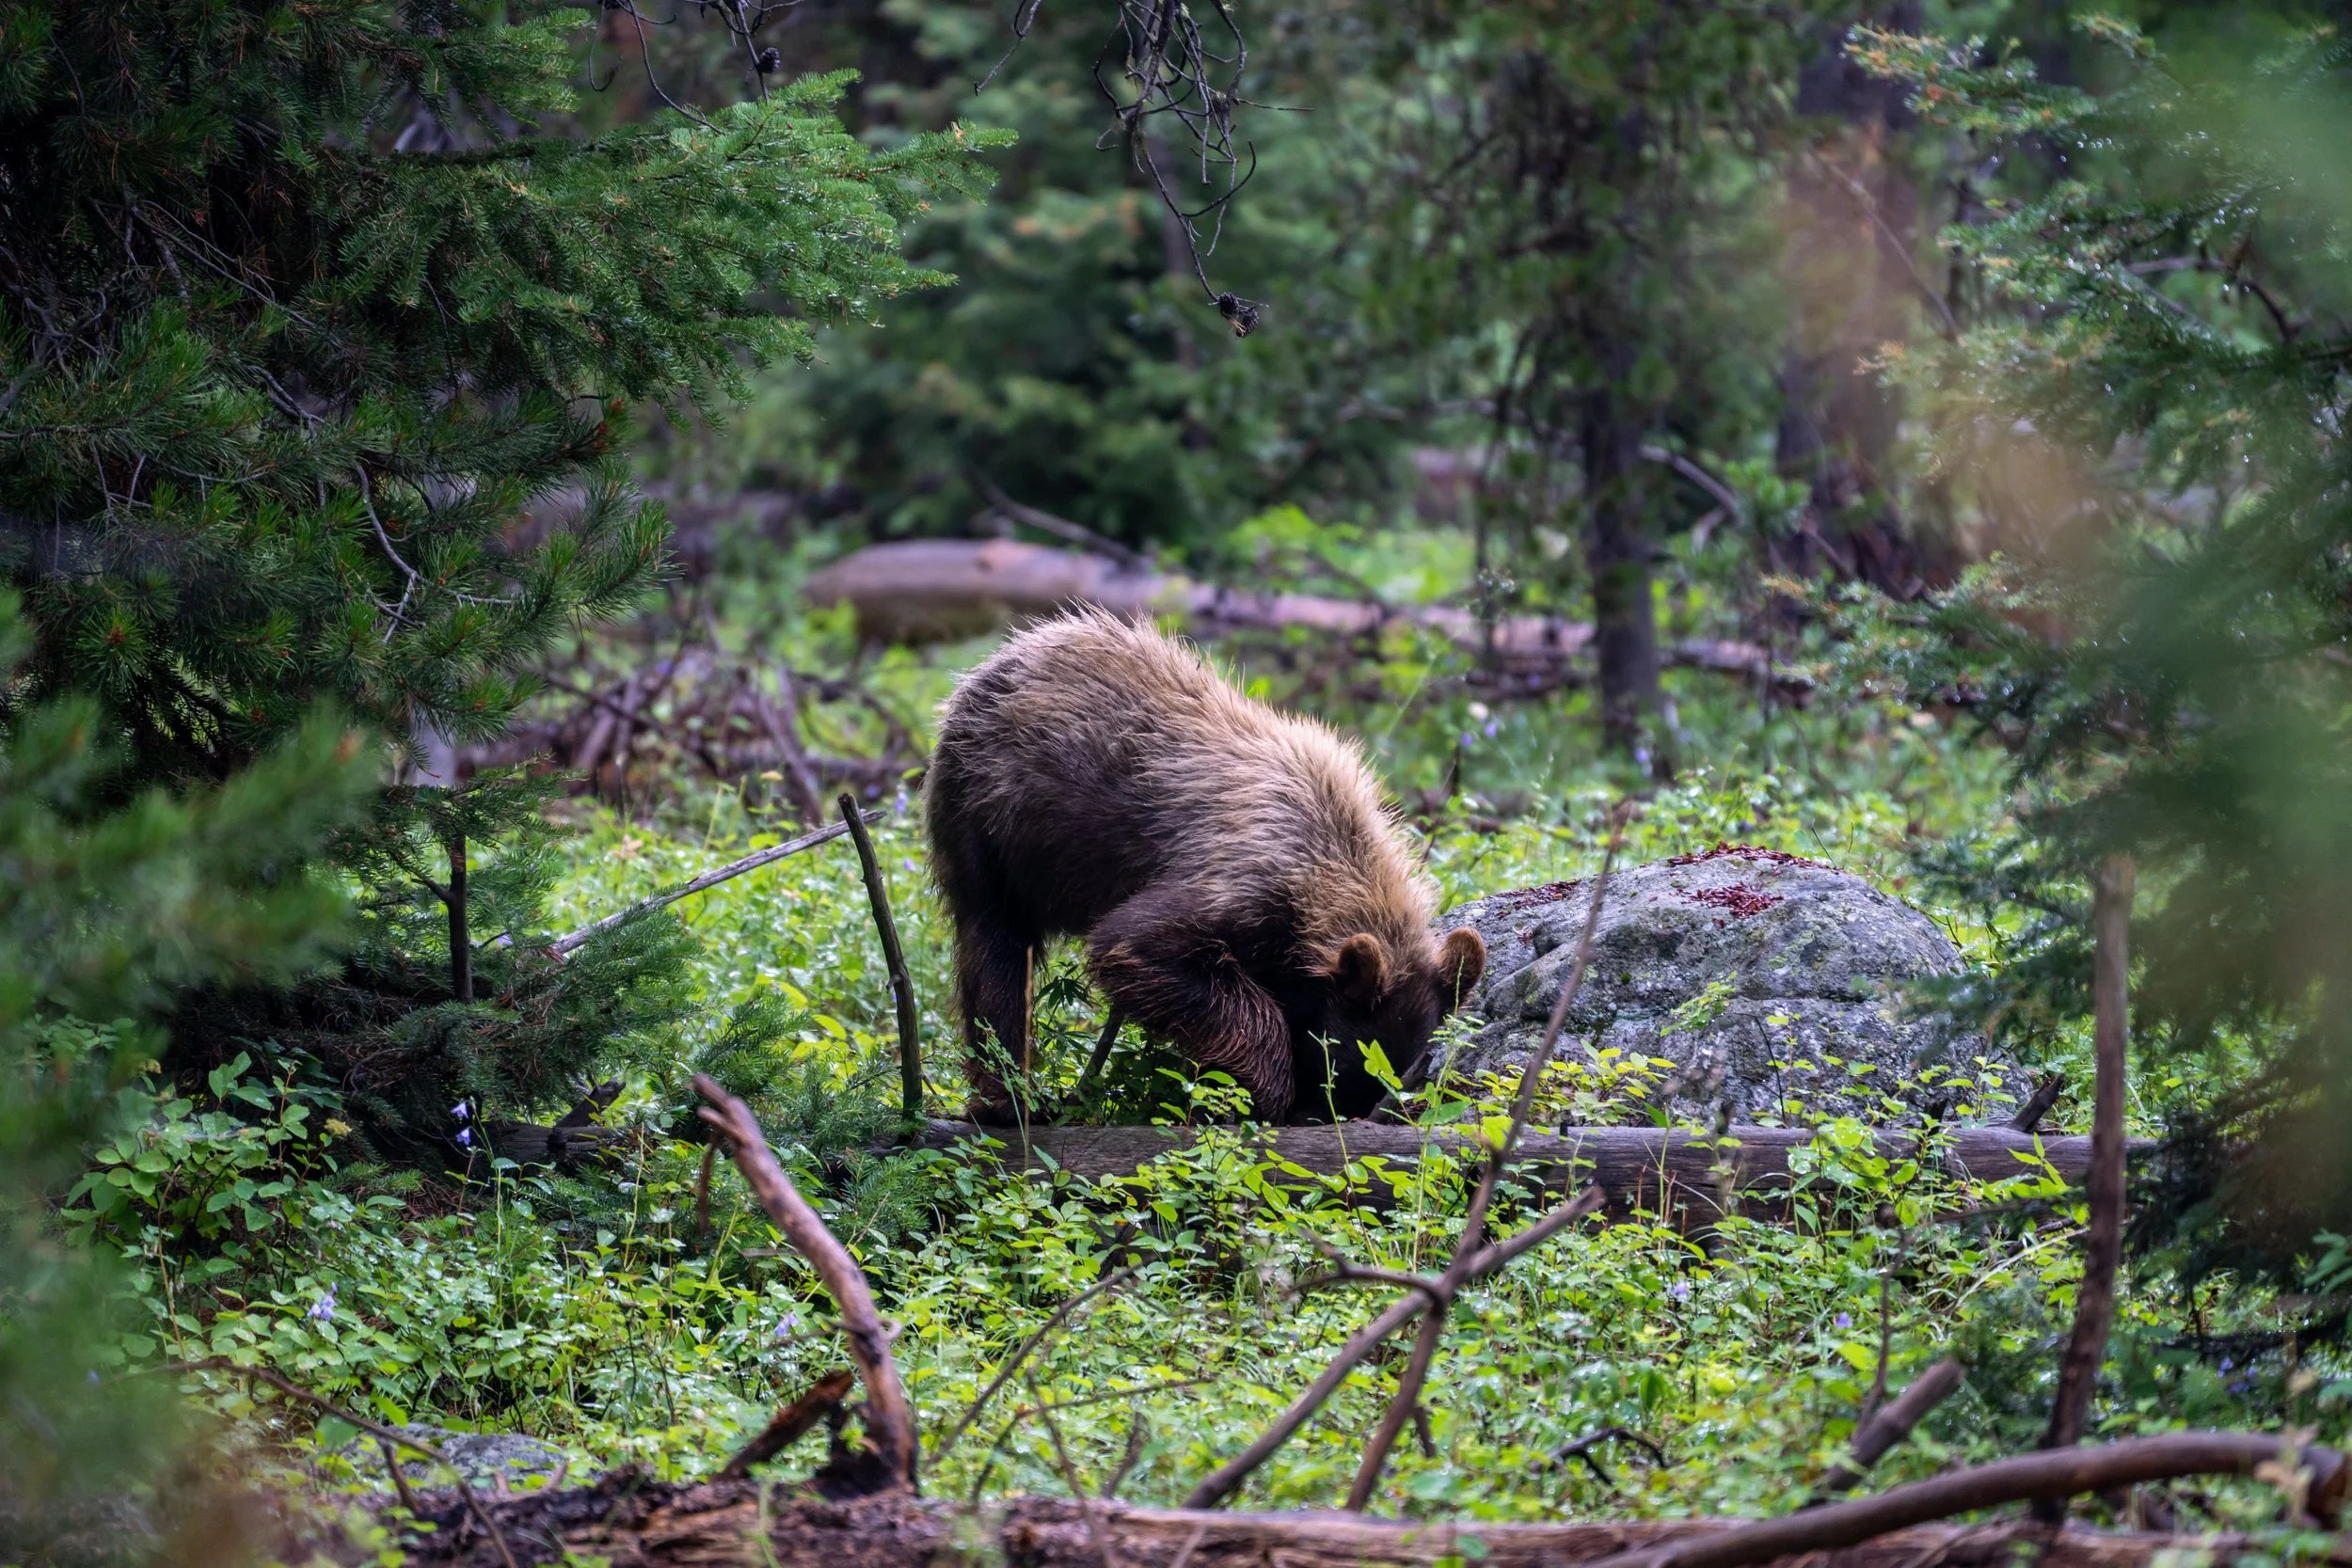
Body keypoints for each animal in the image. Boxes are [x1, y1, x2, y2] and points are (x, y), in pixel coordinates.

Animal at [924, 609, 1486, 1123]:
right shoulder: (1243, 885)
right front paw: (1257, 1089)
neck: (1332, 864)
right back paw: (1009, 1099)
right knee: (995, 946)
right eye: (1343, 1072)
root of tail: (995, 660)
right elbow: (1140, 944)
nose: (1334, 1115)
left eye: (1395, 1080)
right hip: (990, 819)